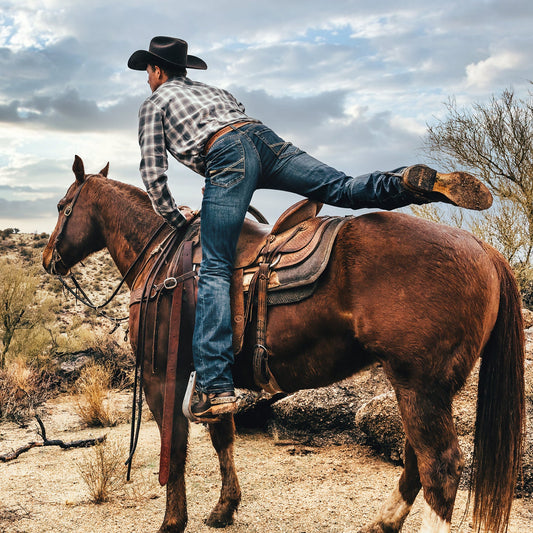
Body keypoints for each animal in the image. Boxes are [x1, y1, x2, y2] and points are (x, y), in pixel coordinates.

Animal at [42, 157, 524, 532]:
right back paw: (380, 523)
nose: (48, 259)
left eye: (63, 206)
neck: (164, 260)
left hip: (420, 386)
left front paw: (172, 522)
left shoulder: (165, 376)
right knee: (414, 460)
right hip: (424, 388)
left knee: (439, 468)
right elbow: (222, 437)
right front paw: (224, 509)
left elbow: (174, 451)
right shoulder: (210, 380)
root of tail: (484, 248)